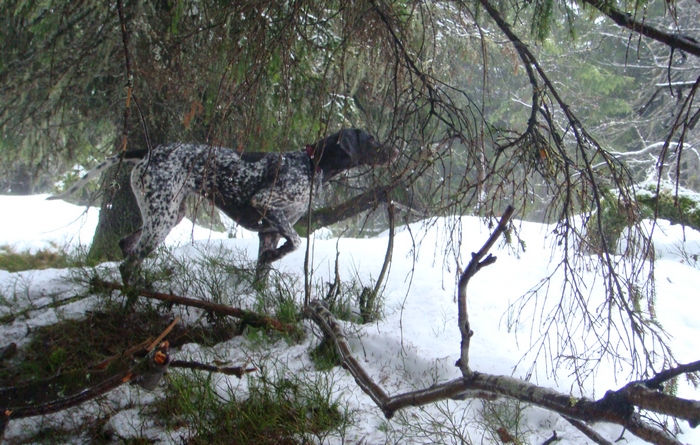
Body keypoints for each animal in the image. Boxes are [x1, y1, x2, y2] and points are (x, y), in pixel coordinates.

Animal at [51, 128, 396, 282]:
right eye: (372, 140)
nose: (395, 151)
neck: (312, 165)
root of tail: (148, 152)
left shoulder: (269, 231)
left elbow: (265, 268)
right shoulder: (267, 206)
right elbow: (297, 241)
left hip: (169, 215)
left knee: (127, 246)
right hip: (162, 218)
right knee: (129, 261)